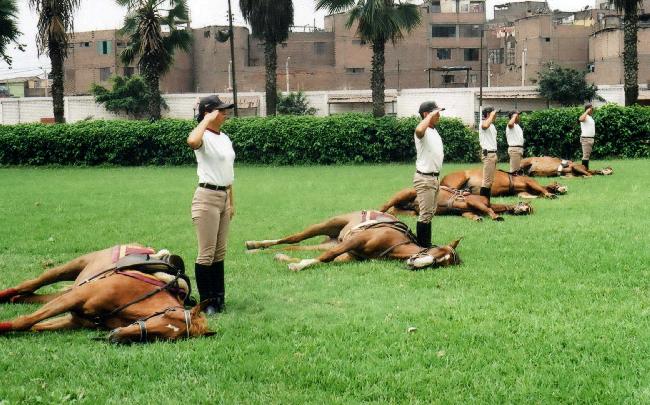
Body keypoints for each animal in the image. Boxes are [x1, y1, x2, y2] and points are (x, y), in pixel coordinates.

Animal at [0, 245, 215, 342]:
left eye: (167, 337)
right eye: (168, 313)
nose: (115, 335)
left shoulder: (74, 320)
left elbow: (34, 327)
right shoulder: (74, 298)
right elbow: (25, 322)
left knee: (28, 295)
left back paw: (16, 298)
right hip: (69, 268)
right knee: (30, 284)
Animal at [243, 208, 460, 272]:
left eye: (441, 264)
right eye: (437, 252)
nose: (417, 263)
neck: (393, 244)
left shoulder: (348, 255)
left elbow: (326, 259)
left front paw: (294, 263)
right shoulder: (354, 242)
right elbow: (327, 257)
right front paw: (298, 267)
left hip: (328, 242)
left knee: (294, 248)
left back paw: (260, 251)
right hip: (326, 225)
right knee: (292, 238)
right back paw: (254, 244)